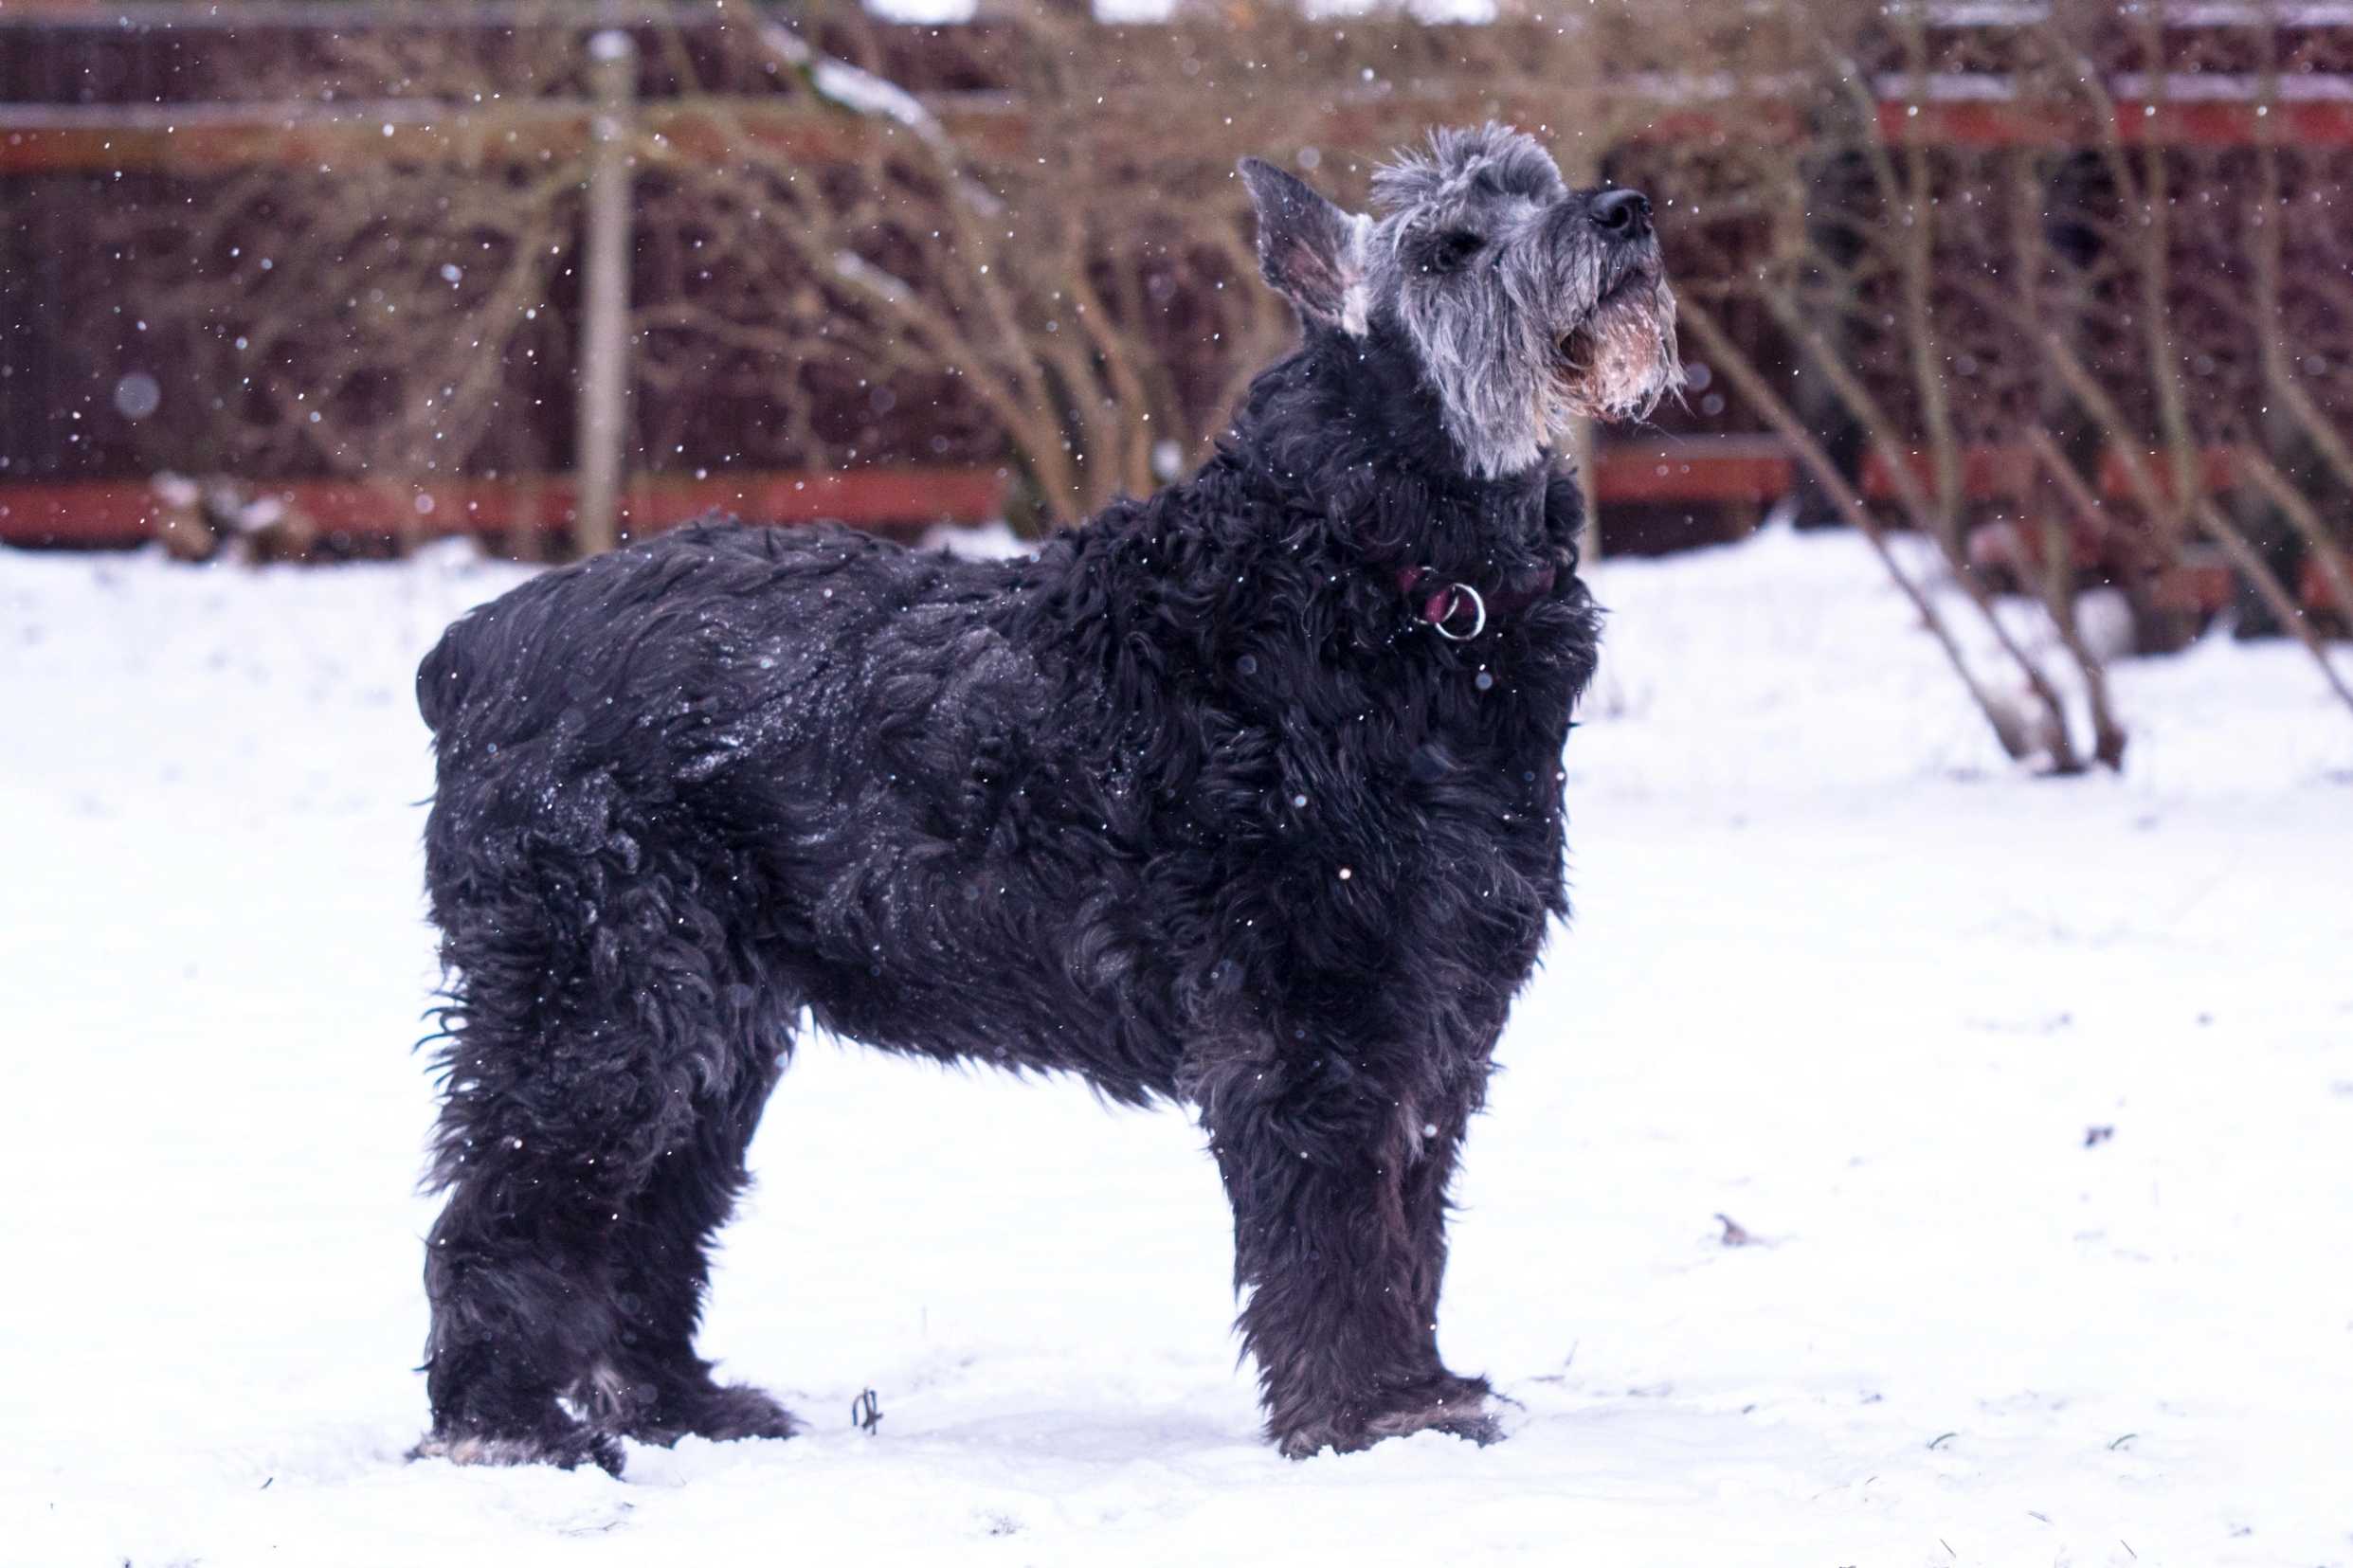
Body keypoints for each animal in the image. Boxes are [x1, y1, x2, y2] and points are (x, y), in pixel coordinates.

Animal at [409, 123, 1678, 1474]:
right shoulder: (1311, 1019)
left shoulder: (1434, 1017)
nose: (1621, 212)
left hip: (709, 1035)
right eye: (1449, 244)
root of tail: (474, 650)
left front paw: (1419, 1390)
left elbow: (1412, 1222)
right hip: (598, 1012)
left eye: (1534, 185)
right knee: (503, 1212)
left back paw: (678, 1407)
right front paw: (1372, 1413)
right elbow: (1341, 1234)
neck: (1381, 573)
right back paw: (503, 1425)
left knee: (646, 1223)